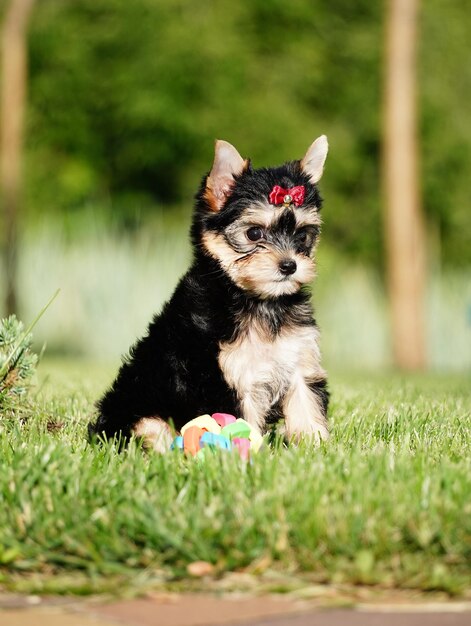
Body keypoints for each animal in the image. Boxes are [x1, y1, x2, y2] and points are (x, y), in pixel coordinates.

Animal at [89, 136, 332, 448]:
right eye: (254, 233)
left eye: (302, 236)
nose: (289, 265)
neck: (258, 301)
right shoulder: (226, 376)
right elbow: (240, 422)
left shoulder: (299, 358)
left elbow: (306, 404)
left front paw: (315, 446)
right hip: (137, 412)